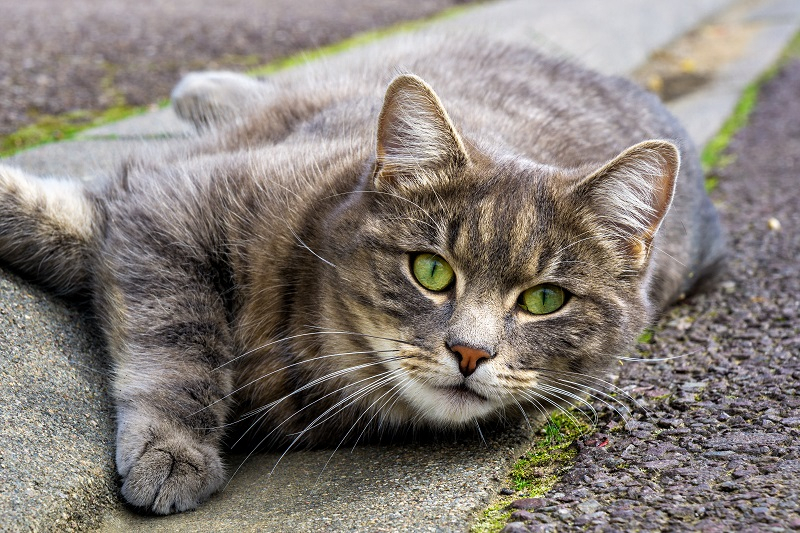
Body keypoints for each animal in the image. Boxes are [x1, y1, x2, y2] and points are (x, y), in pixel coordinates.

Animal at [0, 32, 724, 512]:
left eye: (546, 299)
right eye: (431, 270)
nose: (471, 351)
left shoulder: (144, 208)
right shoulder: (172, 201)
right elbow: (176, 337)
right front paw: (174, 447)